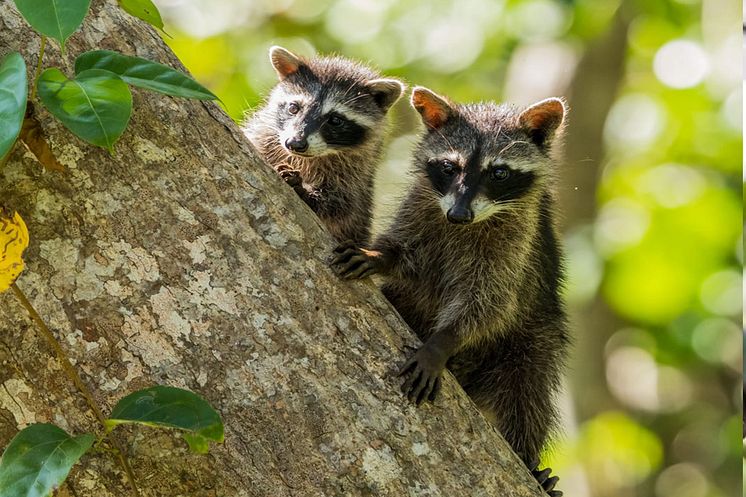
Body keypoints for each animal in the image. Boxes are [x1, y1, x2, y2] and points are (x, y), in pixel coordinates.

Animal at [243, 47, 406, 245]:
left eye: (335, 120)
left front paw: (306, 191)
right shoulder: (265, 136)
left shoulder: (356, 174)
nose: (295, 143)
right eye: (293, 108)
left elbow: (342, 205)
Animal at [332, 87, 568, 494]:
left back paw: (528, 457)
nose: (458, 216)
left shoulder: (516, 245)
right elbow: (405, 250)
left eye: (499, 172)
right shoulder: (422, 205)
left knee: (528, 390)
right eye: (449, 167)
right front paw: (380, 255)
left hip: (535, 336)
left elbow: (490, 302)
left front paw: (443, 340)